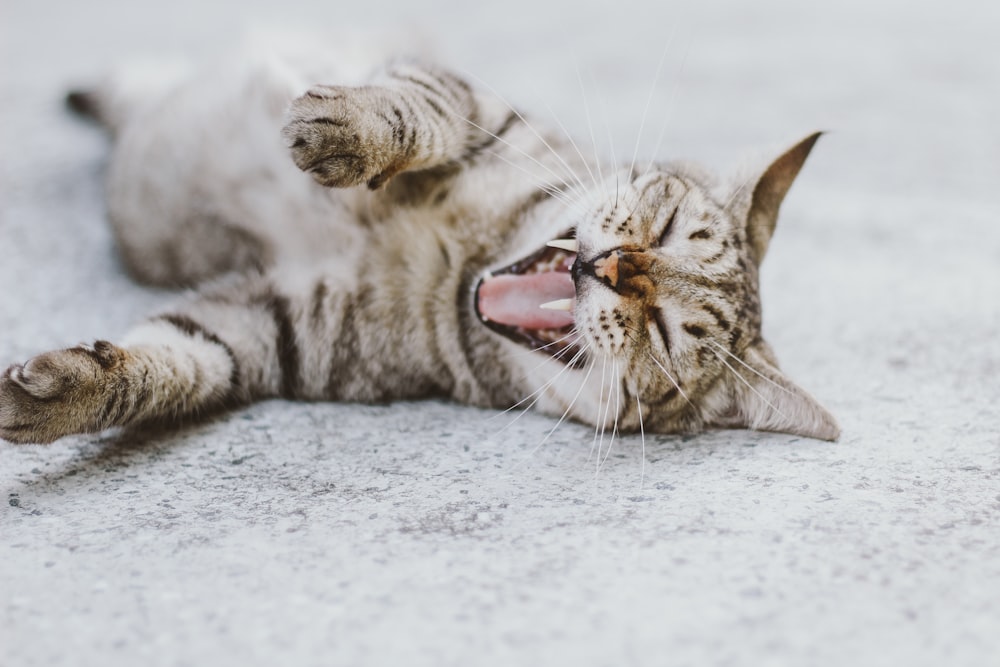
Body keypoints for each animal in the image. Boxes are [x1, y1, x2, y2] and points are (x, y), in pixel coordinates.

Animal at [0, 44, 840, 446]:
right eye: (661, 229)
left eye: (661, 334)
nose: (614, 265)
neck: (469, 264)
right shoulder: (474, 104)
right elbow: (417, 108)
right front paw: (348, 131)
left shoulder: (272, 330)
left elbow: (174, 362)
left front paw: (64, 396)